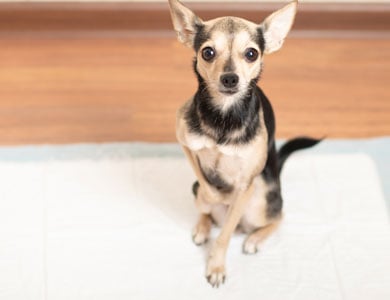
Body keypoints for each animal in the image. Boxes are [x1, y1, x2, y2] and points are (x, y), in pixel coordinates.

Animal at [169, 0, 322, 286]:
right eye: (208, 53)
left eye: (251, 54)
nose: (230, 78)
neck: (223, 116)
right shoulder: (185, 143)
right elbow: (207, 185)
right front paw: (217, 195)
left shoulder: (245, 185)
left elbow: (225, 235)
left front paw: (216, 266)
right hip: (196, 189)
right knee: (205, 205)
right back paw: (202, 227)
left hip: (260, 197)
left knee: (278, 216)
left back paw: (254, 239)